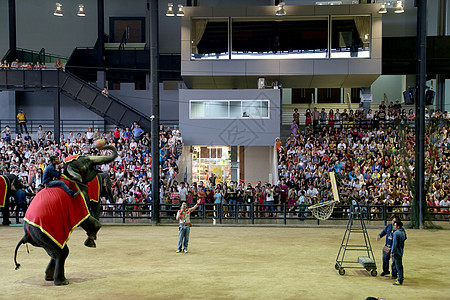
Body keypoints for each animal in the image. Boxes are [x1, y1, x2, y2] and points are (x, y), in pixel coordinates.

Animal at [14, 143, 118, 286]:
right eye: (86, 160)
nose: (100, 145)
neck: (68, 177)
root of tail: (26, 234)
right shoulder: (77, 200)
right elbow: (88, 219)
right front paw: (90, 242)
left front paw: (91, 240)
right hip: (42, 235)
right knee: (61, 253)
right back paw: (62, 281)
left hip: (41, 239)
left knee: (54, 253)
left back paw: (49, 277)